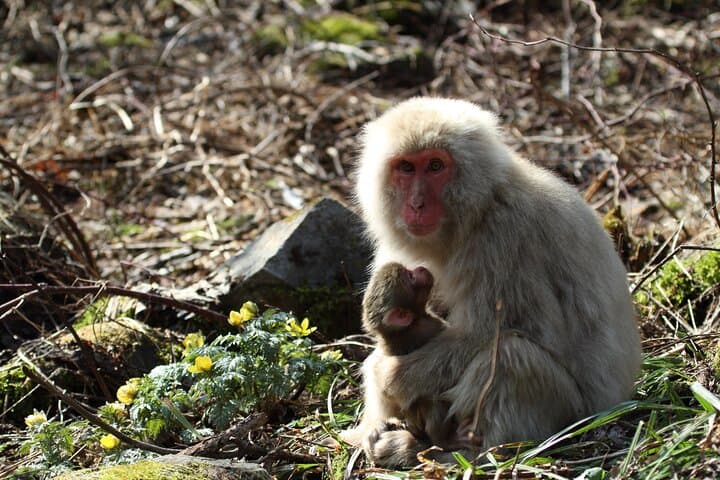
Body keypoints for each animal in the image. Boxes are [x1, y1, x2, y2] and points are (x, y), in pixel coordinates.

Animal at [341, 97, 642, 467]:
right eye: (407, 168)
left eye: (436, 165)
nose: (417, 204)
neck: (480, 207)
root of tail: (619, 403)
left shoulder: (504, 238)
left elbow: (496, 332)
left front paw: (388, 375)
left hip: (575, 413)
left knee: (511, 356)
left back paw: (473, 454)